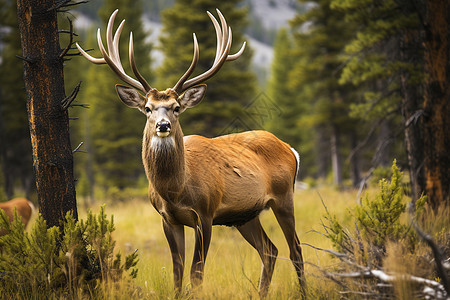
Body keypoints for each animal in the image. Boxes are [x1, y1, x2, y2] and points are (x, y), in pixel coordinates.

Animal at [76, 9, 306, 298]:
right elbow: (177, 273)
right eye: (148, 108)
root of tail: (290, 148)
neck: (175, 189)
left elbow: (196, 274)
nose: (163, 125)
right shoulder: (168, 219)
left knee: (295, 249)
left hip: (284, 196)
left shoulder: (205, 213)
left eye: (176, 107)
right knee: (270, 251)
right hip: (245, 215)